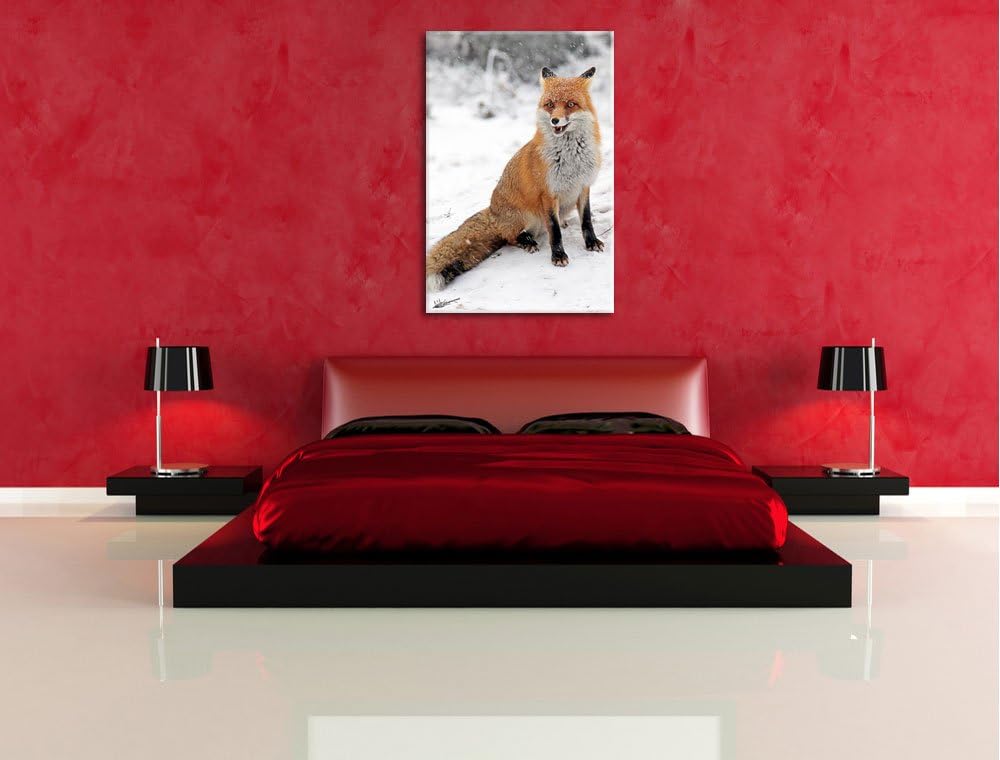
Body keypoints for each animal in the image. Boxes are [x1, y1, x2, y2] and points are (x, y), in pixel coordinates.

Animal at [426, 66, 604, 293]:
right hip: (527, 217)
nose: (555, 120)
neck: (571, 158)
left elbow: (586, 221)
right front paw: (558, 256)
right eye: (550, 105)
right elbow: (554, 231)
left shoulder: (583, 186)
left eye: (570, 104)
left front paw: (592, 243)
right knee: (510, 237)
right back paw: (527, 242)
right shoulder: (548, 194)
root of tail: (492, 211)